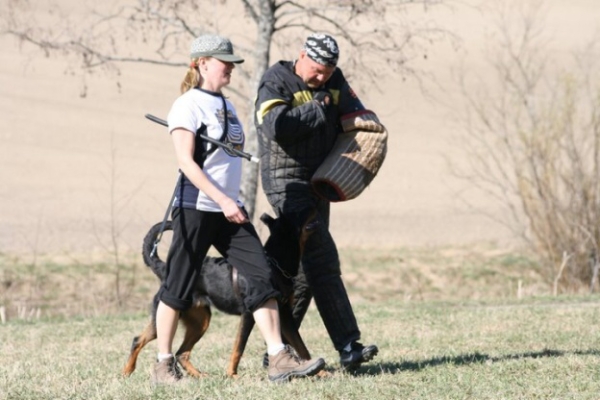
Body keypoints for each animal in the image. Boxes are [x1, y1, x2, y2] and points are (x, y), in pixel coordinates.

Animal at [122, 212, 318, 378]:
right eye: (297, 214)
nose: (313, 206)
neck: (276, 263)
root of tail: (164, 270)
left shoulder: (285, 314)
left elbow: (301, 346)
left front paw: (317, 370)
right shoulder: (249, 314)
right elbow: (239, 347)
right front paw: (232, 375)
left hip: (201, 321)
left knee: (181, 353)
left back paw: (199, 376)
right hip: (165, 315)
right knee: (138, 340)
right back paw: (127, 372)